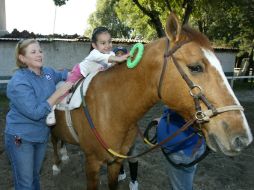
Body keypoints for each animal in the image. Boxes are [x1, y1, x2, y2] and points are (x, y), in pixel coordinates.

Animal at [50, 12, 253, 189]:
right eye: (195, 67)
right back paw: (57, 163)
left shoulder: (116, 162)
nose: (242, 138)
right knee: (53, 139)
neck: (110, 107)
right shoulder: (92, 163)